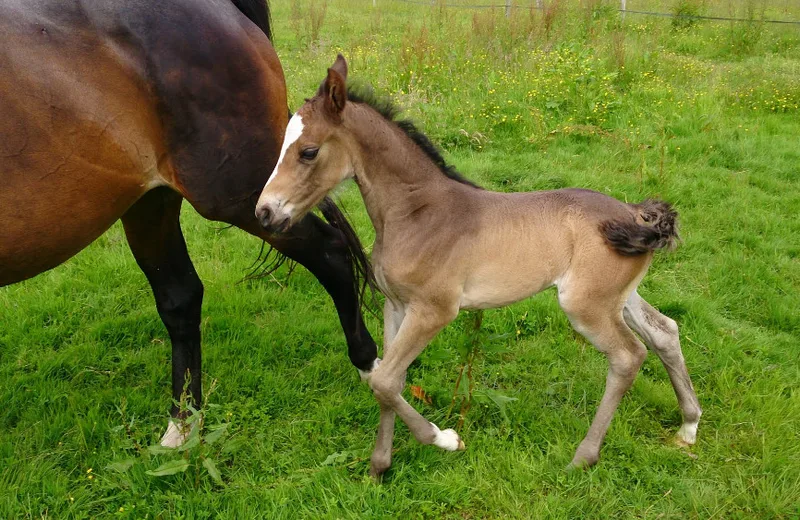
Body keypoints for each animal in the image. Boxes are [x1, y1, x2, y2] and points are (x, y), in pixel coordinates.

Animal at [258, 55, 700, 476]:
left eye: (308, 151)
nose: (264, 212)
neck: (416, 212)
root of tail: (634, 213)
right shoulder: (395, 306)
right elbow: (391, 381)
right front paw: (380, 467)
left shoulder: (434, 310)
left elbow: (383, 380)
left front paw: (444, 439)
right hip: (618, 297)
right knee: (664, 331)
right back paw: (689, 426)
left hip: (586, 306)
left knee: (628, 356)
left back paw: (584, 457)